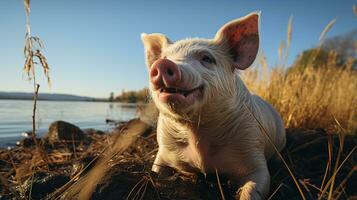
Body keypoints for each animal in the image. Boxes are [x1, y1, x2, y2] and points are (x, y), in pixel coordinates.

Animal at [140, 11, 286, 199]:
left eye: (207, 58)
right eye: (165, 58)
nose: (163, 64)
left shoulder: (253, 149)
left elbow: (254, 187)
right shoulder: (163, 151)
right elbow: (157, 169)